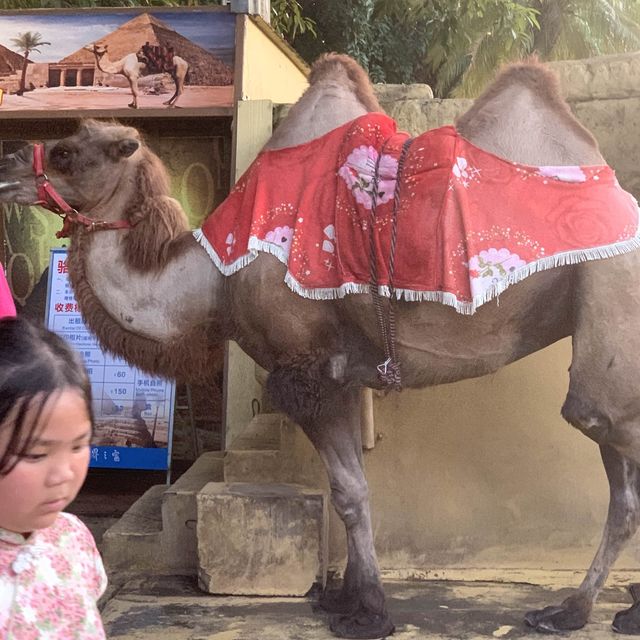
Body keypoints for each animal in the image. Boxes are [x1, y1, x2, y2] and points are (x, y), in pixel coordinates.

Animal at [1, 52, 640, 636]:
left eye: (65, 151)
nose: (6, 162)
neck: (215, 277)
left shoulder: (304, 370)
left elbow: (350, 492)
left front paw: (370, 612)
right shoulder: (343, 374)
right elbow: (350, 488)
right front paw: (346, 598)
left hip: (609, 303)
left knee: (598, 421)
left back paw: (581, 608)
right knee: (622, 482)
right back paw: (589, 609)